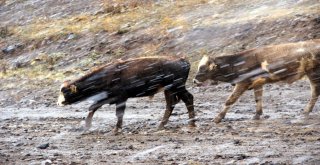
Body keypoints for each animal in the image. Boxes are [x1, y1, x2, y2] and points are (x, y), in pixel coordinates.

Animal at [192, 39, 320, 122]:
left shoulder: (242, 83)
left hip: (313, 73)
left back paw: (306, 111)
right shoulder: (258, 83)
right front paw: (257, 115)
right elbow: (258, 99)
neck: (235, 63)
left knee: (315, 92)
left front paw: (218, 118)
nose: (194, 80)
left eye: (202, 67)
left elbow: (230, 100)